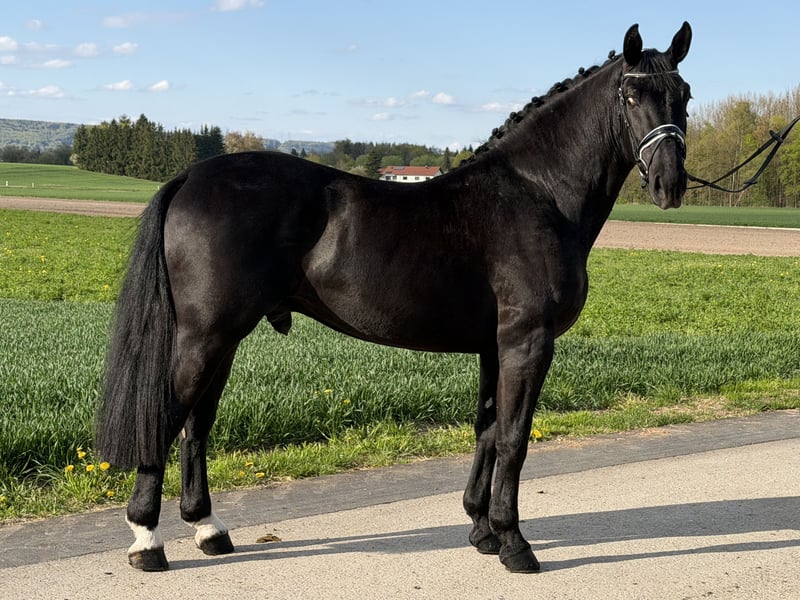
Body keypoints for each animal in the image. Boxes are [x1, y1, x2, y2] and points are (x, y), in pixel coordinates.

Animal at [97, 22, 693, 573]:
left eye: (684, 94)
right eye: (632, 96)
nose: (670, 184)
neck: (536, 194)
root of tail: (192, 174)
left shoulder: (494, 346)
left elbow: (487, 431)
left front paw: (482, 531)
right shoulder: (528, 341)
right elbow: (514, 438)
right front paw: (515, 544)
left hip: (222, 339)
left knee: (196, 426)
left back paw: (210, 531)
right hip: (206, 334)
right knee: (168, 417)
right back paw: (147, 541)